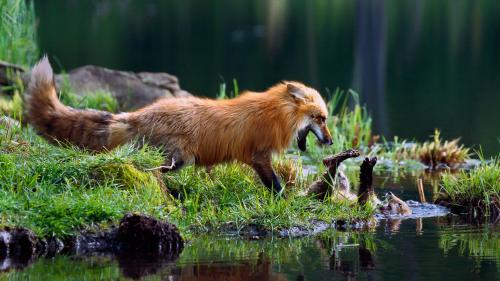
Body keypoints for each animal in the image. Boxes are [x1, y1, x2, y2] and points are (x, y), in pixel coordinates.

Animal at [26, 57, 332, 192]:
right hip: (177, 159)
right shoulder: (259, 156)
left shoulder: (258, 158)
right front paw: (285, 200)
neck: (276, 114)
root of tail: (138, 114)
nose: (330, 141)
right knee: (147, 168)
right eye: (321, 118)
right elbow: (276, 185)